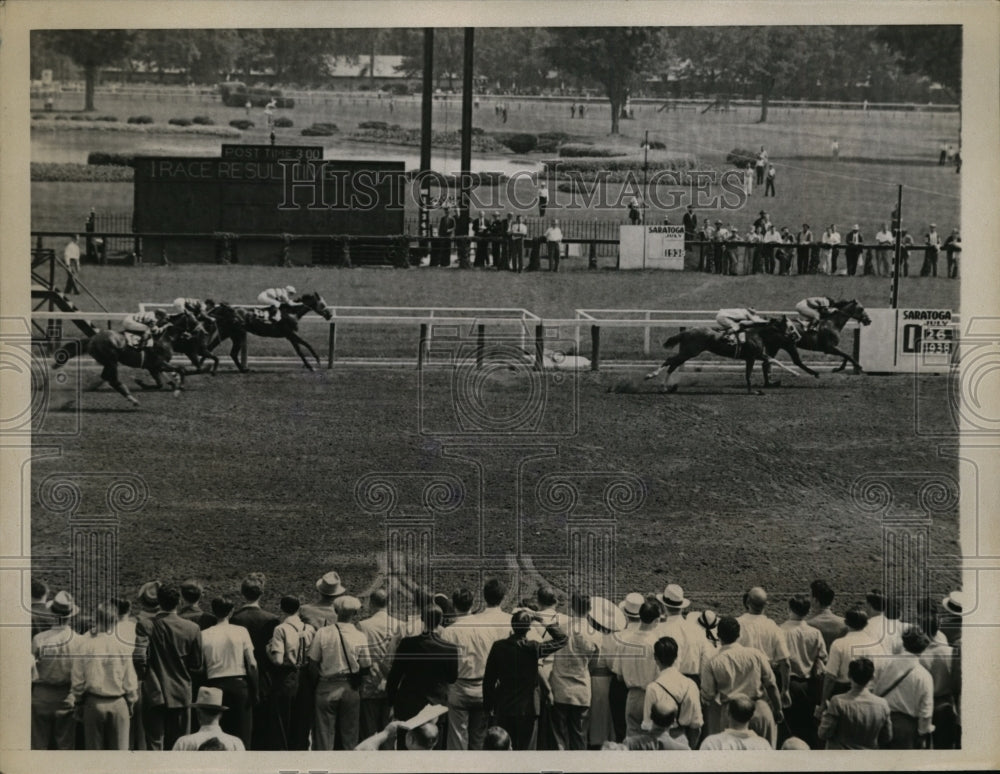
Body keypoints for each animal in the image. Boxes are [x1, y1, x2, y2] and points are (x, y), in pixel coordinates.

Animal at [52, 322, 186, 406]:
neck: (166, 340)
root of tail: (92, 339)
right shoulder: (159, 364)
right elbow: (181, 369)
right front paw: (177, 390)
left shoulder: (152, 367)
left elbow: (160, 383)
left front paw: (142, 383)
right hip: (111, 360)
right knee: (112, 379)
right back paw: (132, 399)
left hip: (108, 362)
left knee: (106, 377)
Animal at [205, 292, 334, 374]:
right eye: (323, 304)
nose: (330, 314)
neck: (291, 312)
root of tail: (224, 309)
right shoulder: (290, 333)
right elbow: (307, 344)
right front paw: (317, 360)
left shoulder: (290, 336)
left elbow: (300, 351)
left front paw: (310, 366)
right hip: (236, 334)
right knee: (228, 352)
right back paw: (242, 369)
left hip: (228, 333)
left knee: (217, 349)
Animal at [648, 316, 820, 394]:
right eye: (791, 326)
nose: (798, 336)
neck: (759, 334)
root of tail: (687, 332)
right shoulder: (757, 354)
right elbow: (775, 361)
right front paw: (796, 373)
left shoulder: (751, 358)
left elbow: (748, 374)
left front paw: (752, 391)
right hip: (690, 351)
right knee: (670, 361)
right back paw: (651, 376)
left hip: (687, 352)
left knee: (673, 364)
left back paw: (665, 386)